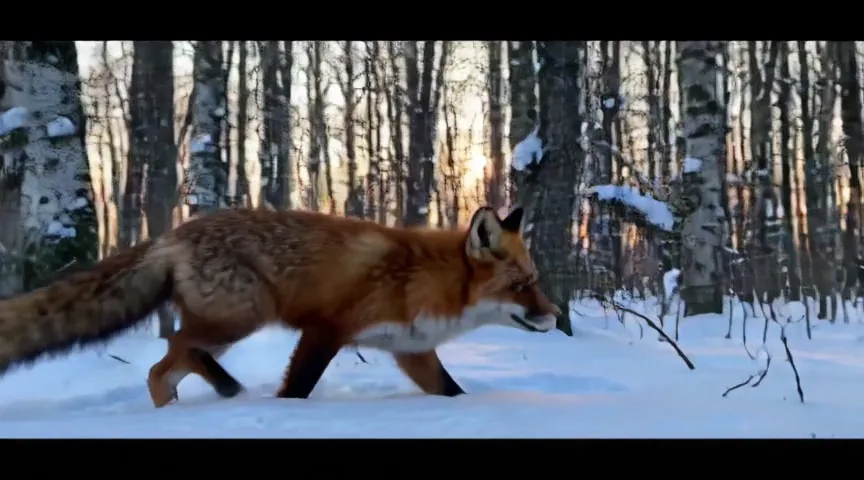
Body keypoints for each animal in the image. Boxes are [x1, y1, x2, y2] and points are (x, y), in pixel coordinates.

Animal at [0, 205, 561, 408]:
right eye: (523, 285)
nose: (555, 316)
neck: (426, 281)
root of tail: (171, 235)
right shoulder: (326, 330)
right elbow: (298, 390)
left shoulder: (411, 350)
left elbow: (451, 392)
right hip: (243, 315)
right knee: (171, 354)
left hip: (228, 321)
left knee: (166, 367)